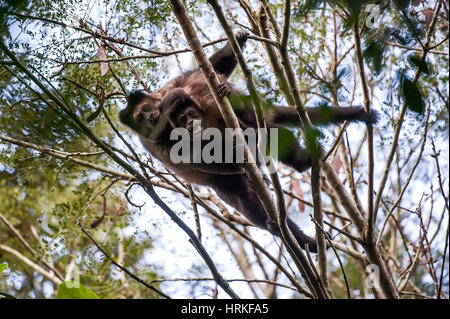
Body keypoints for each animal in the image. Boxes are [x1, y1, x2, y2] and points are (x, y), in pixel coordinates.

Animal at [118, 31, 376, 252]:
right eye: (139, 119)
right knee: (246, 198)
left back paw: (299, 163)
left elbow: (210, 69)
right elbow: (193, 158)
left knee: (266, 131)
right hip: (226, 182)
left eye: (145, 110)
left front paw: (237, 42)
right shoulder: (153, 141)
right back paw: (291, 233)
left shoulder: (176, 89)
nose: (151, 119)